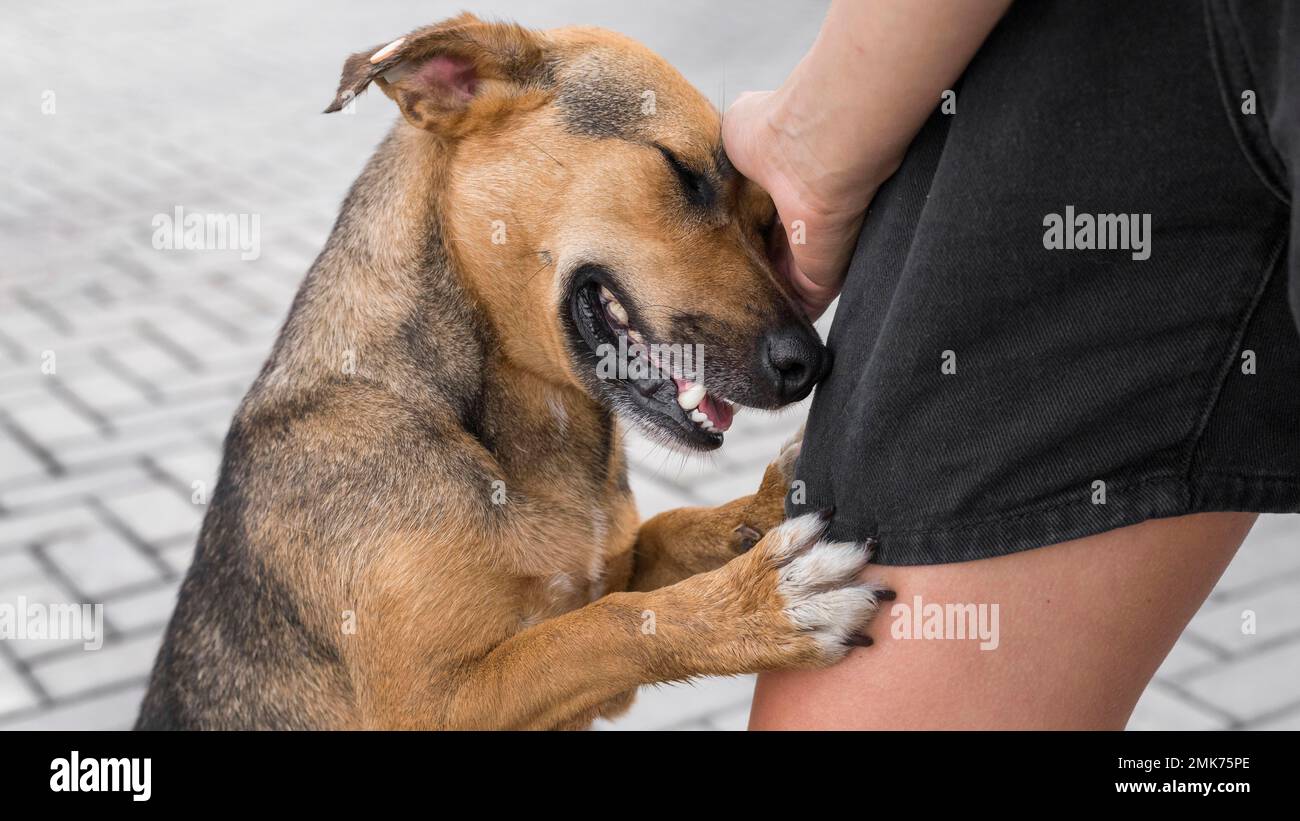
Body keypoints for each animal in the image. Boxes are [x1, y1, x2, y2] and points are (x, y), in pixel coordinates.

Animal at [137, 14, 889, 732]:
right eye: (683, 171)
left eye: (768, 222)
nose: (809, 364)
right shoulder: (433, 706)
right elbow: (603, 628)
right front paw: (756, 604)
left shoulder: (612, 566)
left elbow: (670, 532)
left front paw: (763, 505)